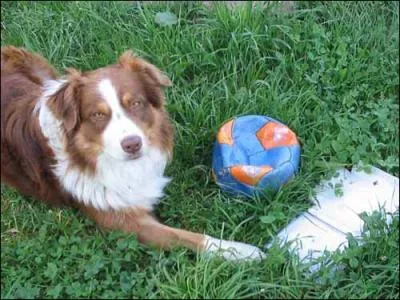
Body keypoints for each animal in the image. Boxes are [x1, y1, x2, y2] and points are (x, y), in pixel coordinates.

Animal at [0, 46, 266, 260]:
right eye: (98, 115)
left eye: (136, 103)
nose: (132, 144)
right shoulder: (125, 222)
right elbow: (187, 236)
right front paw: (243, 251)